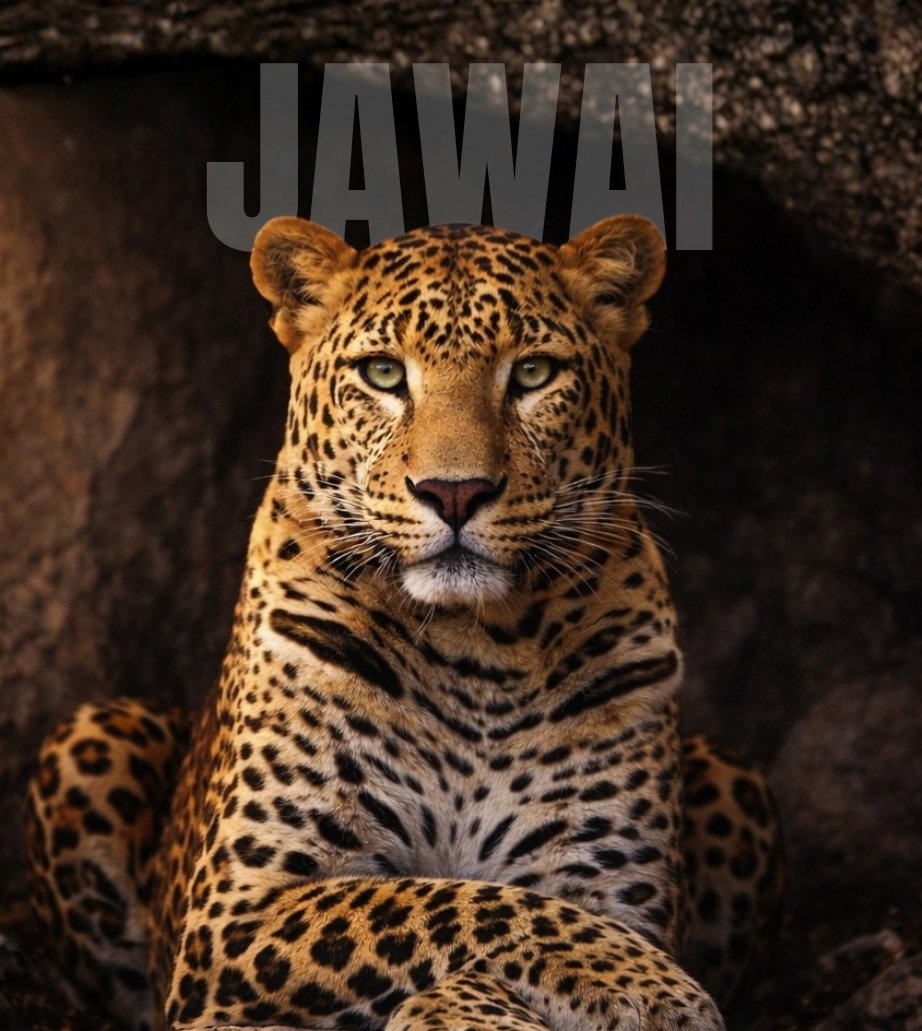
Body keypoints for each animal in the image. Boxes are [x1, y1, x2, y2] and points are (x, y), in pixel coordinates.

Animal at [26, 215, 782, 1031]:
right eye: (384, 374)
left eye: (533, 373)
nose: (454, 493)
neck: (479, 645)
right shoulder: (237, 914)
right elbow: (450, 902)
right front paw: (645, 983)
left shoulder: (611, 882)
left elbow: (493, 905)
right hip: (93, 733)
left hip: (732, 772)